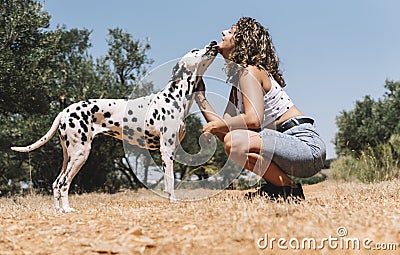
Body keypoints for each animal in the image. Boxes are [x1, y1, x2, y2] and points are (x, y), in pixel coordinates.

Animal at [11, 40, 219, 212]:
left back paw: (59, 210)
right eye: (194, 50)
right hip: (80, 153)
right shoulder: (166, 149)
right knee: (63, 183)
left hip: (68, 155)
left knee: (56, 184)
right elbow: (171, 182)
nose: (213, 42)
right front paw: (174, 202)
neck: (176, 97)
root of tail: (65, 111)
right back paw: (68, 209)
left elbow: (168, 184)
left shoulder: (171, 150)